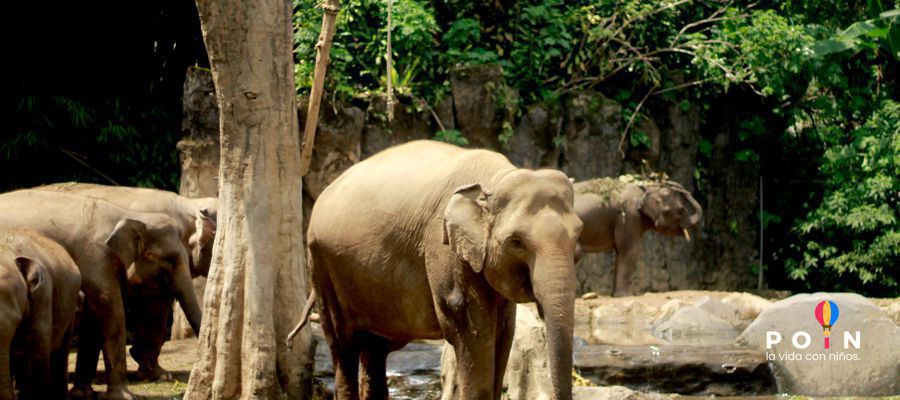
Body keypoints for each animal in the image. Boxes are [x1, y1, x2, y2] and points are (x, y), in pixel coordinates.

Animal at [300, 141, 584, 400]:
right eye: (516, 242)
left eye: (578, 234)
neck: (496, 177)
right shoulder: (444, 247)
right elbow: (471, 327)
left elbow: (504, 331)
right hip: (323, 265)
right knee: (343, 344)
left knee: (375, 349)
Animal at [572, 175, 708, 296]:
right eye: (681, 210)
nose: (669, 182)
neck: (645, 189)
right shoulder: (629, 217)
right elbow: (631, 251)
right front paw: (624, 296)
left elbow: (620, 251)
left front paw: (615, 295)